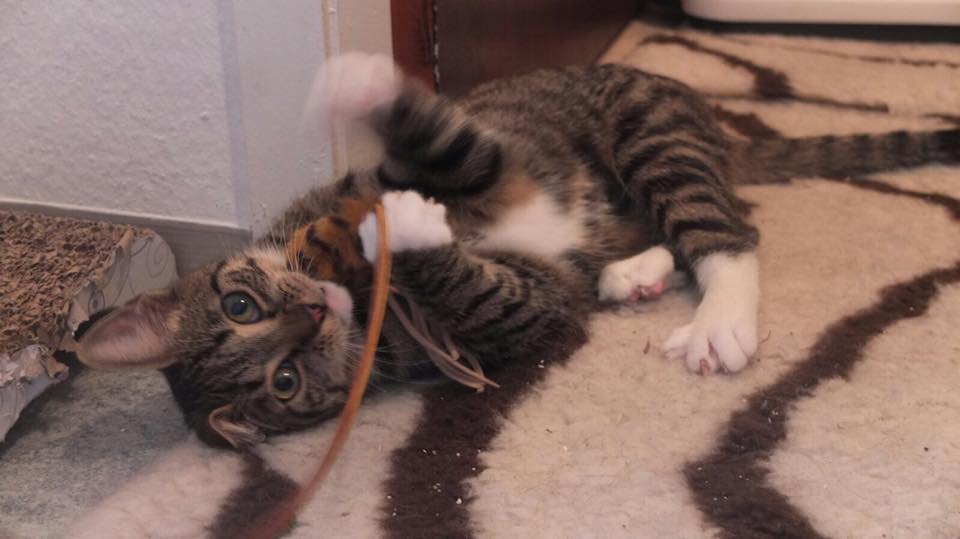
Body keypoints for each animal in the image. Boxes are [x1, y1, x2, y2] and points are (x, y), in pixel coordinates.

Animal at [75, 53, 959, 449]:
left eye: (241, 303)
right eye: (283, 382)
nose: (315, 310)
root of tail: (706, 123)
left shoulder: (421, 171)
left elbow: (450, 150)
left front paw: (364, 88)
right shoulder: (518, 310)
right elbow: (494, 291)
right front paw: (412, 236)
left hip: (649, 130)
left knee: (725, 231)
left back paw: (712, 311)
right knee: (697, 235)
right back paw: (645, 278)